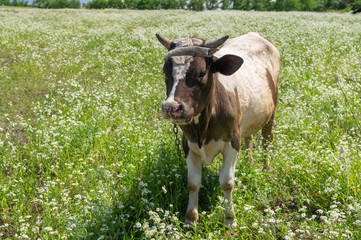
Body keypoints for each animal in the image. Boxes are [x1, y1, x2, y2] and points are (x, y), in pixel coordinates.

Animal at [156, 32, 280, 227]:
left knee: (267, 141)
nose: (171, 107)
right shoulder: (188, 143)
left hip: (271, 112)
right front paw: (191, 218)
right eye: (165, 71)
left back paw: (266, 168)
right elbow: (192, 183)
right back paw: (250, 162)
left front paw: (229, 218)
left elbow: (227, 182)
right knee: (249, 138)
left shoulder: (232, 141)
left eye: (201, 73)